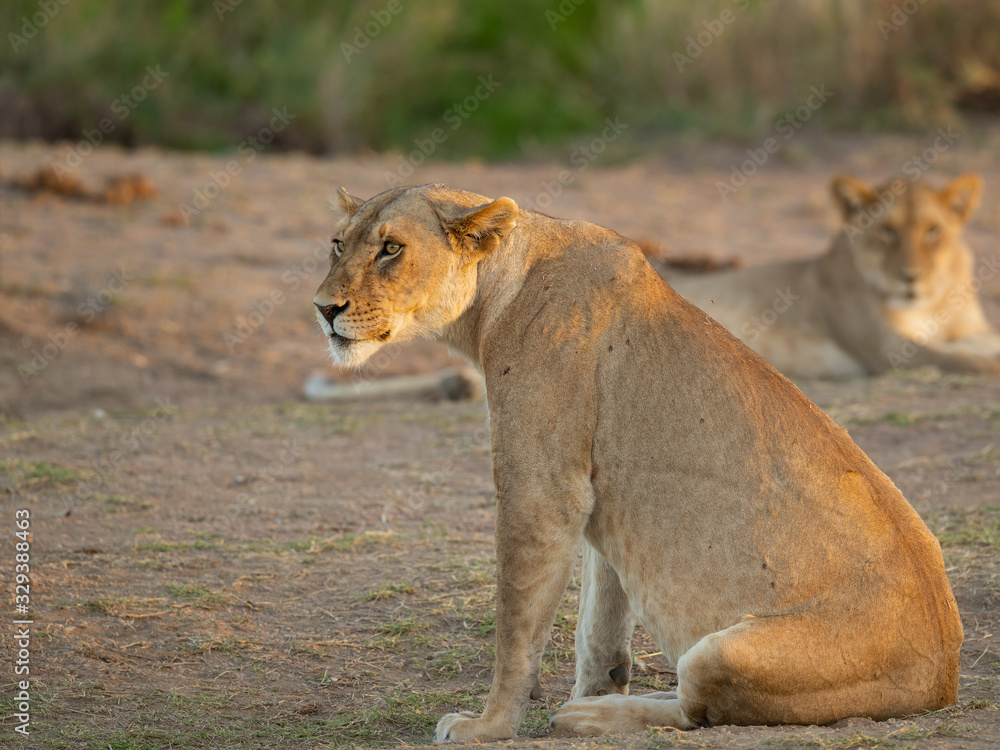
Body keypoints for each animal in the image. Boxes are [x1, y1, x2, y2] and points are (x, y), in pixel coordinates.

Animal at [313, 184, 962, 742]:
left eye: (392, 248)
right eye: (338, 244)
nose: (323, 308)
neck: (492, 297)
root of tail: (945, 680)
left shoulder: (541, 492)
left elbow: (517, 627)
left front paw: (489, 725)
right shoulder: (597, 497)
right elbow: (597, 625)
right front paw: (592, 686)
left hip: (721, 651)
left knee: (698, 711)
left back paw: (590, 718)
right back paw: (594, 706)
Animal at [669, 174, 1000, 378]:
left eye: (932, 230)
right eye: (887, 231)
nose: (910, 277)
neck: (930, 304)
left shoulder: (970, 327)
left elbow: (975, 343)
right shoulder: (889, 348)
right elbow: (962, 360)